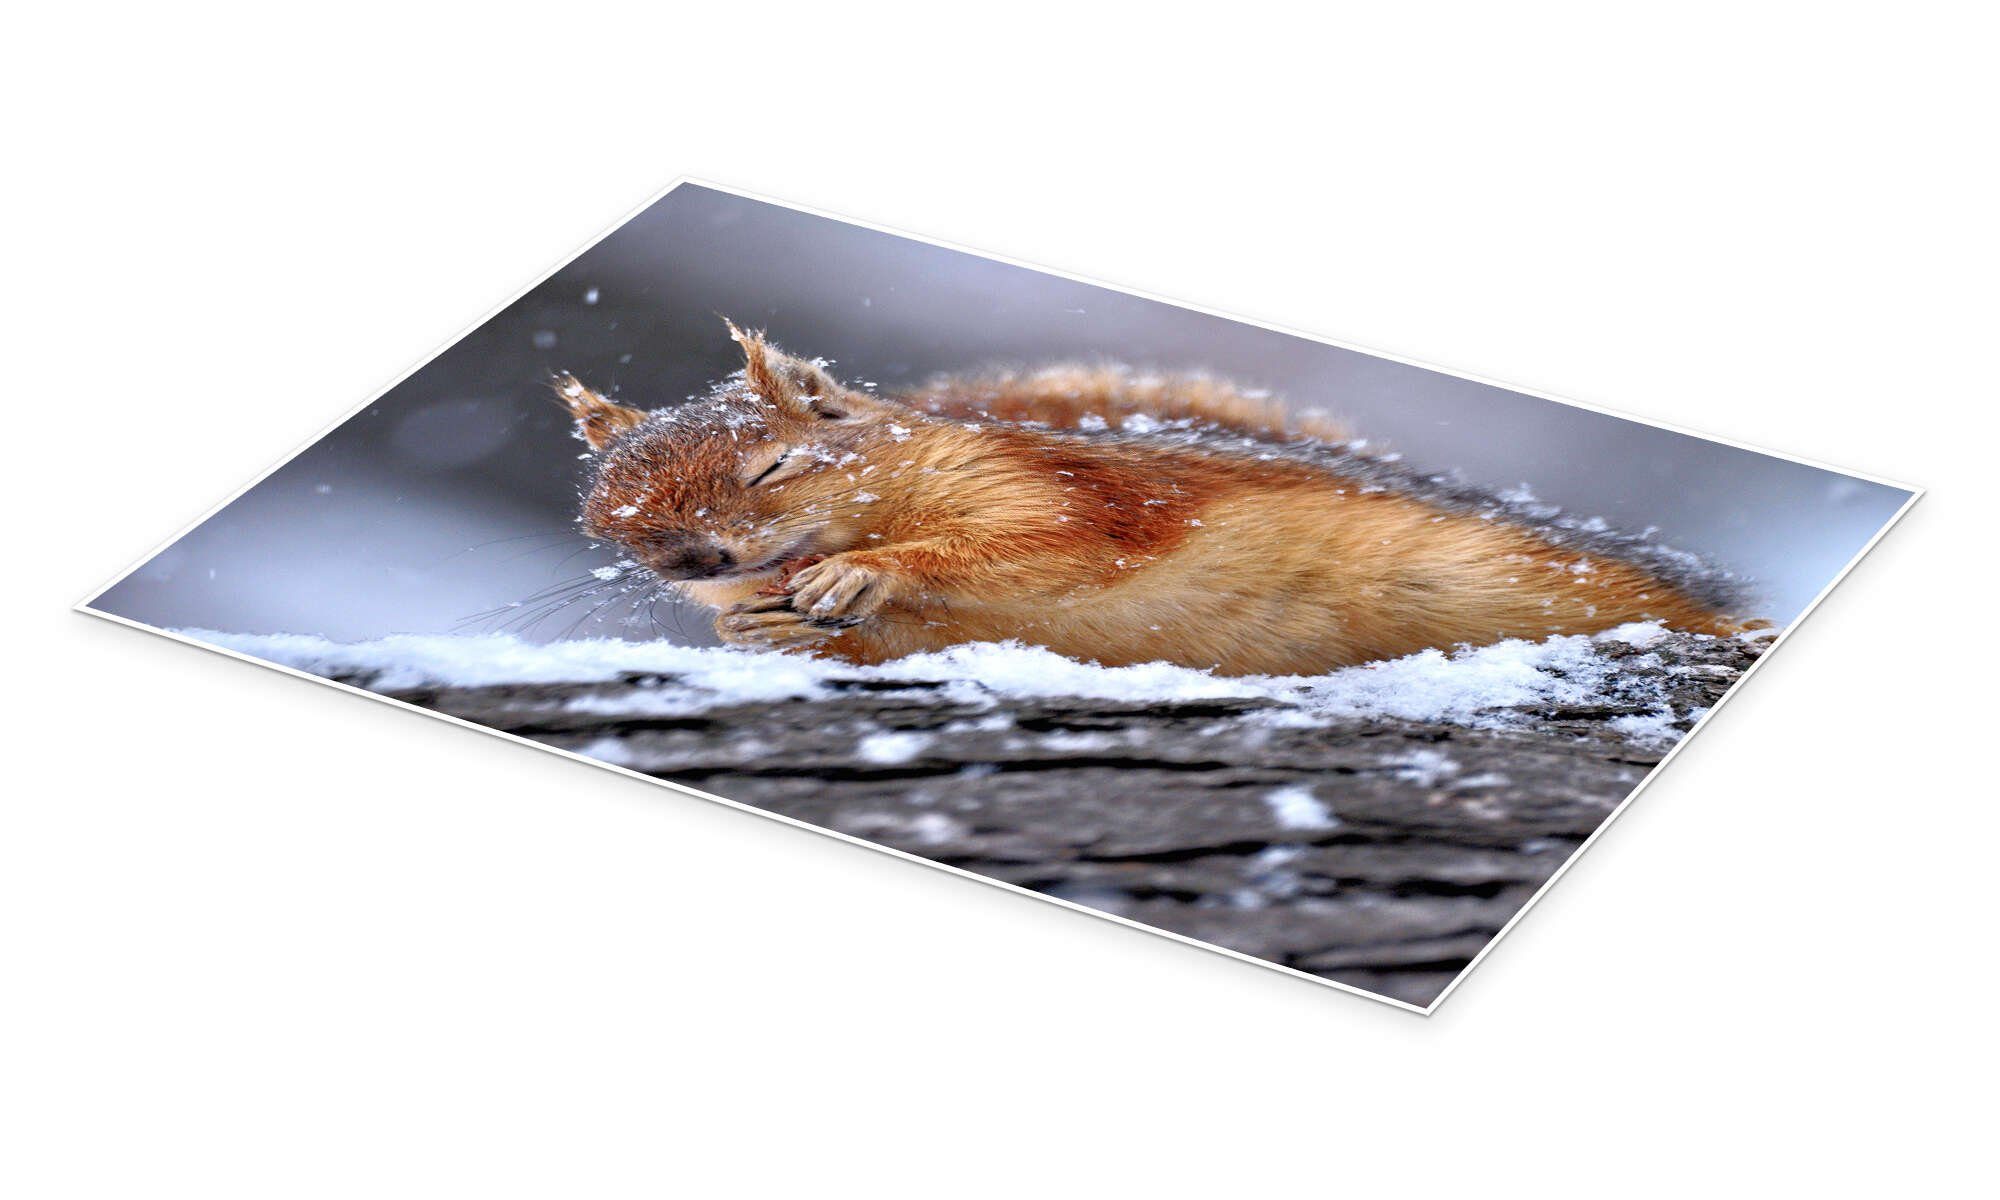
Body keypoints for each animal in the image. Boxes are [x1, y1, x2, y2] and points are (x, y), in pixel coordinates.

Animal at [555, 322, 1761, 676]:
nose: (693, 564)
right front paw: (762, 624)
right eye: (611, 523)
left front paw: (867, 572)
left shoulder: (1078, 493)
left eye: (769, 466)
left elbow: (1048, 544)